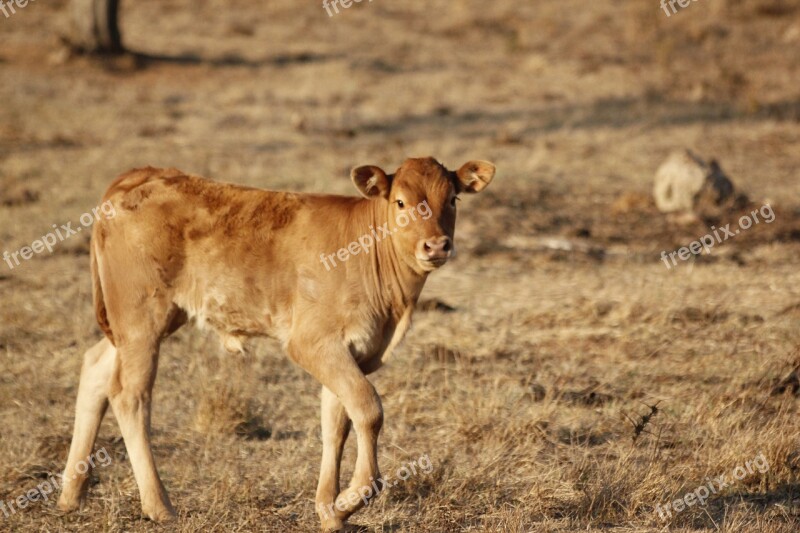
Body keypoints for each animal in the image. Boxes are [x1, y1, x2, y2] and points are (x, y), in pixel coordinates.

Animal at [57, 156, 494, 528]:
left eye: (452, 199)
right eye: (400, 201)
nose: (436, 245)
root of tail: (141, 175)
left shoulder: (348, 351)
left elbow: (336, 422)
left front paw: (330, 511)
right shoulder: (312, 342)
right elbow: (368, 409)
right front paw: (352, 497)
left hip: (135, 323)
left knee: (95, 369)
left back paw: (71, 495)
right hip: (140, 318)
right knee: (130, 395)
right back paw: (160, 506)